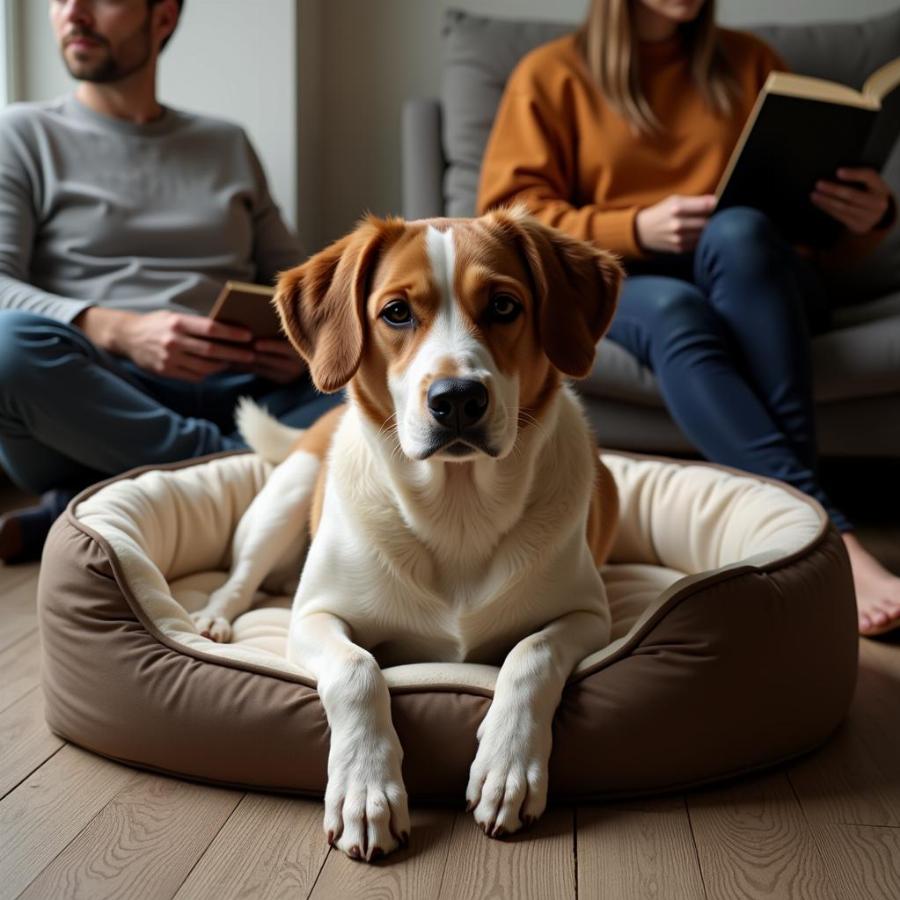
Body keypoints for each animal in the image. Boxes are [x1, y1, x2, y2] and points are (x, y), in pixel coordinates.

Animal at [190, 207, 624, 860]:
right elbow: (357, 670)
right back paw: (215, 617)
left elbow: (532, 654)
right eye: (396, 312)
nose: (458, 398)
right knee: (241, 578)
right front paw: (365, 788)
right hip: (288, 493)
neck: (458, 508)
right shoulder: (312, 617)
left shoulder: (588, 616)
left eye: (503, 305)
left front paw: (507, 767)